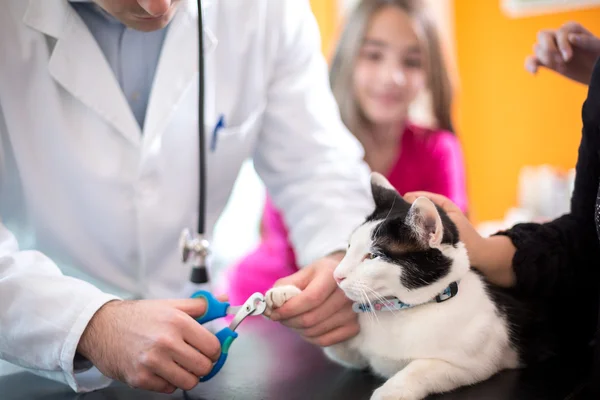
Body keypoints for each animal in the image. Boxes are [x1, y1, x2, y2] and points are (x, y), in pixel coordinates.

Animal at [268, 172, 552, 400]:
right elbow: (336, 347)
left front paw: (390, 392)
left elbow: (420, 368)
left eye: (373, 256)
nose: (337, 276)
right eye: (348, 247)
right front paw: (285, 294)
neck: (401, 311)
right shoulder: (358, 356)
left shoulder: (473, 364)